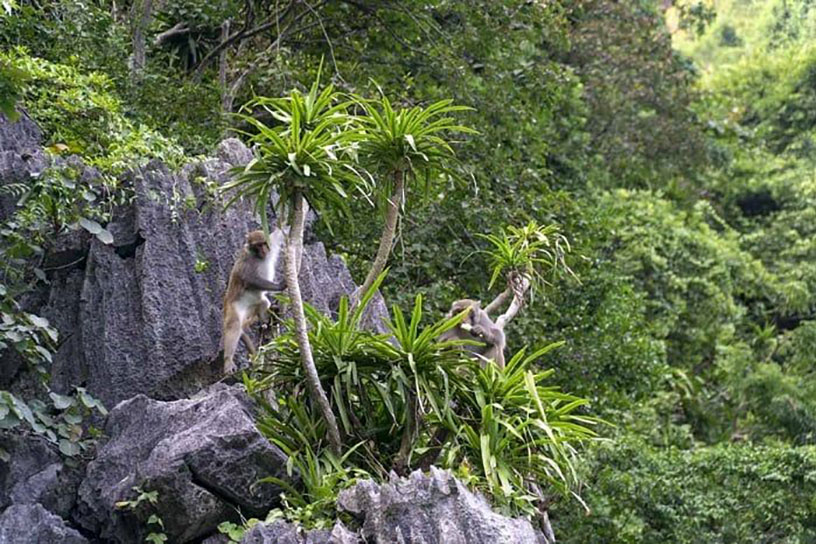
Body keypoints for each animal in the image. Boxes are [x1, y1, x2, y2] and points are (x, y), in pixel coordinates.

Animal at [221, 228, 286, 374]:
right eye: (257, 246)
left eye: (263, 243)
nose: (263, 250)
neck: (258, 257)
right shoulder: (247, 262)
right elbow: (250, 279)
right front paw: (279, 286)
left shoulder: (272, 241)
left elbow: (280, 232)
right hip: (234, 306)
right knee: (234, 325)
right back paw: (228, 360)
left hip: (252, 306)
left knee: (263, 303)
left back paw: (265, 321)